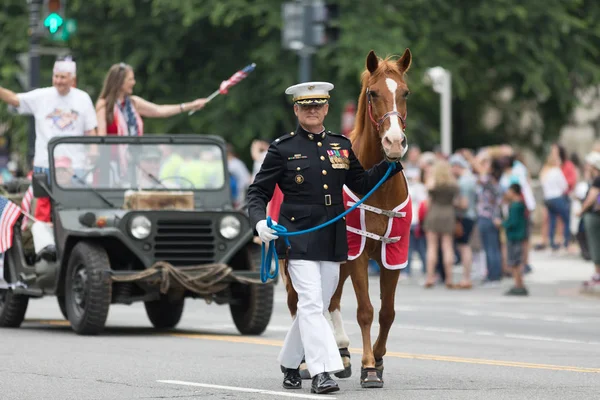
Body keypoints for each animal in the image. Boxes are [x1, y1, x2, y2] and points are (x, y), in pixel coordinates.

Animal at [282, 48, 412, 390]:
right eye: (373, 93)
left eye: (405, 92)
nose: (395, 141)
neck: (379, 188)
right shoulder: (357, 252)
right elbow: (366, 310)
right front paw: (369, 367)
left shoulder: (393, 253)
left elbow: (388, 312)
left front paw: (377, 359)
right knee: (298, 303)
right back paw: (303, 362)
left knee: (331, 299)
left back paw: (340, 352)